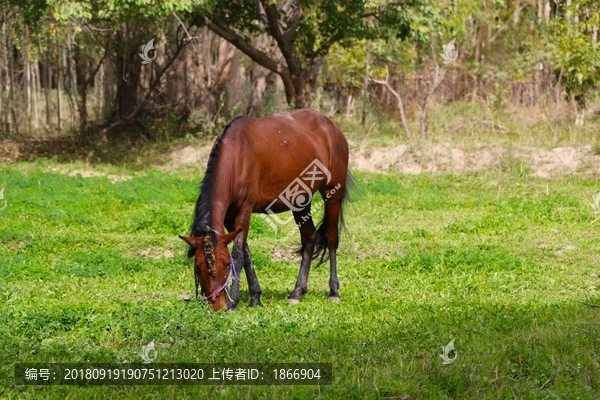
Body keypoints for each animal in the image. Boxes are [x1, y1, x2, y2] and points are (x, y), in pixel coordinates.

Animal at [180, 108, 354, 310]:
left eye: (226, 264)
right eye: (198, 267)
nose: (217, 304)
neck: (237, 155)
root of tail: (332, 127)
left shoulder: (244, 212)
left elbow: (238, 255)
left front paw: (234, 301)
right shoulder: (230, 219)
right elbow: (246, 254)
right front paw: (255, 297)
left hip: (332, 194)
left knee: (332, 239)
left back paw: (333, 291)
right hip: (300, 202)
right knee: (309, 238)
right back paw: (297, 292)